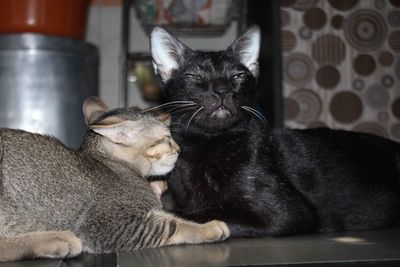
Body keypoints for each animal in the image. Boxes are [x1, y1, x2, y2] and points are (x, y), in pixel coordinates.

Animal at [0, 97, 228, 262]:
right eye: (166, 138)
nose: (179, 150)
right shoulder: (113, 226)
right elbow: (171, 226)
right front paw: (209, 228)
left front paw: (157, 186)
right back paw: (58, 240)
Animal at [148, 26, 400, 238]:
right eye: (195, 77)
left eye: (238, 76)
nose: (222, 90)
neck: (208, 144)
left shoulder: (286, 214)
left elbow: (204, 213)